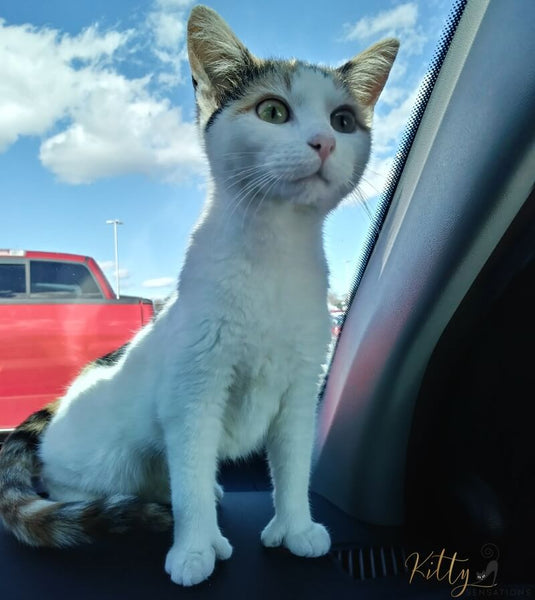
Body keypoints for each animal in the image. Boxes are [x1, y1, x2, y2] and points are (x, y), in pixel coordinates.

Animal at [0, 3, 398, 584]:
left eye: (344, 121)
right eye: (273, 111)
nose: (323, 143)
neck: (273, 255)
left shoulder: (300, 393)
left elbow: (293, 466)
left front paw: (296, 526)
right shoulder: (192, 396)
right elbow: (187, 475)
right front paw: (194, 549)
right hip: (107, 457)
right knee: (83, 482)